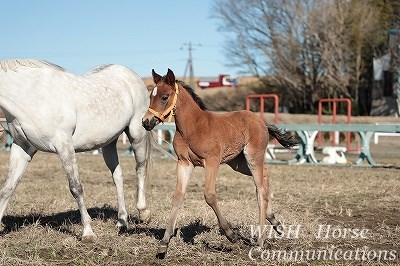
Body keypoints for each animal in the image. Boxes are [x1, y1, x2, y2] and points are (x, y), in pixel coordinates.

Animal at [0, 58, 153, 241]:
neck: (31, 93)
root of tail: (131, 74)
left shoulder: (64, 145)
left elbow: (76, 187)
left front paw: (88, 232)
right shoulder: (22, 148)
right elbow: (8, 188)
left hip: (137, 133)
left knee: (141, 168)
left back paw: (144, 213)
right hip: (109, 142)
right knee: (118, 177)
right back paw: (122, 221)